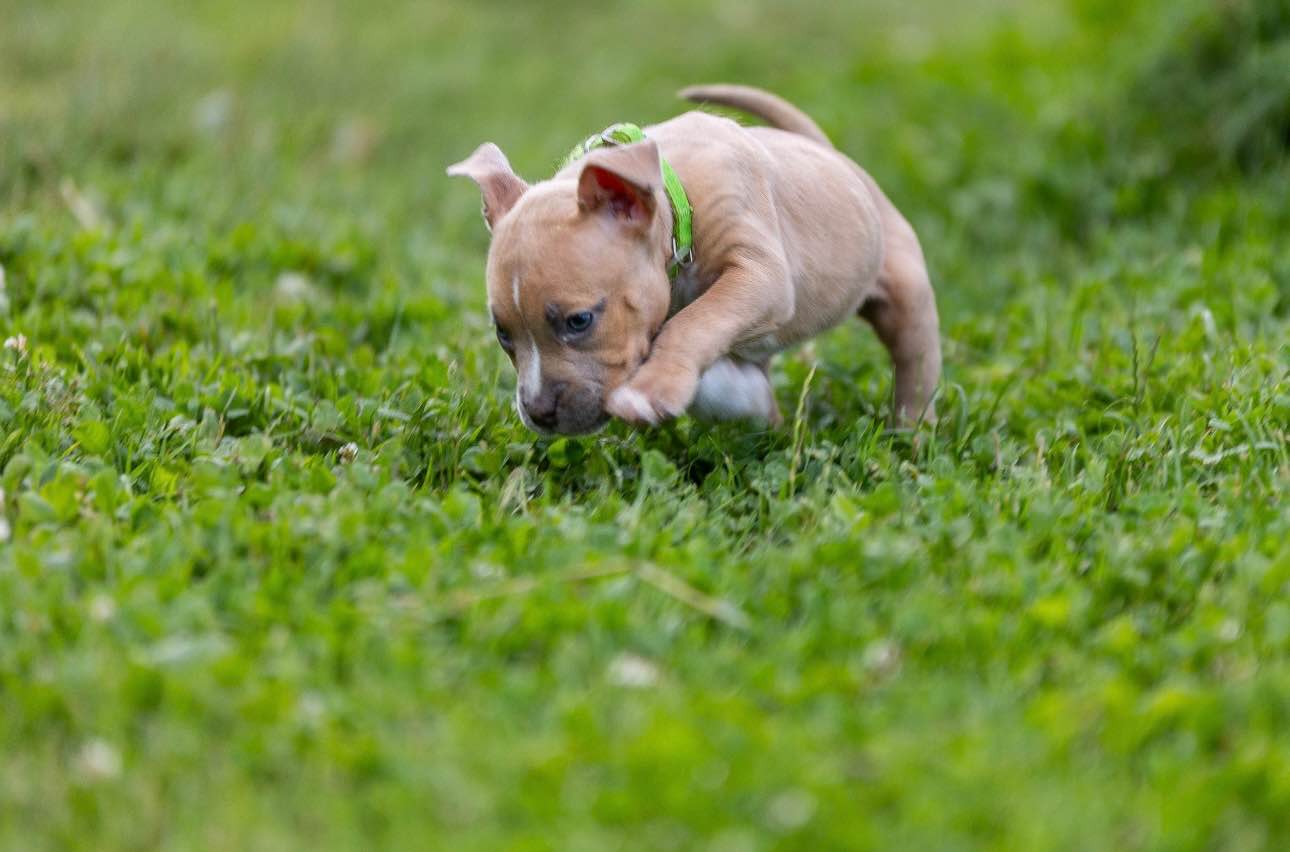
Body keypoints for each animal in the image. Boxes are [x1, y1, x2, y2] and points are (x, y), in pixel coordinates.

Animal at [448, 84, 944, 433]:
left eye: (579, 321)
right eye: (503, 334)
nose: (538, 413)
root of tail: (830, 152)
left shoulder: (759, 274)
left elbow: (697, 320)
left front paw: (651, 389)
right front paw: (721, 392)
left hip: (905, 295)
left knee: (914, 366)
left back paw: (911, 435)